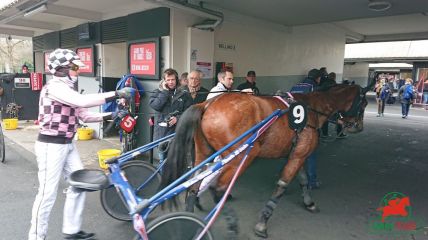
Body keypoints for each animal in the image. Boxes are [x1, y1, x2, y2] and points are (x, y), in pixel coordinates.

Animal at [160, 83, 372, 237]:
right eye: (363, 104)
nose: (358, 126)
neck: (311, 109)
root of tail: (207, 104)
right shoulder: (298, 155)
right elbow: (282, 186)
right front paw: (262, 222)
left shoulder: (298, 154)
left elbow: (303, 180)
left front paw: (309, 202)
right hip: (245, 154)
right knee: (218, 188)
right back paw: (231, 223)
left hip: (204, 154)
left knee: (193, 186)